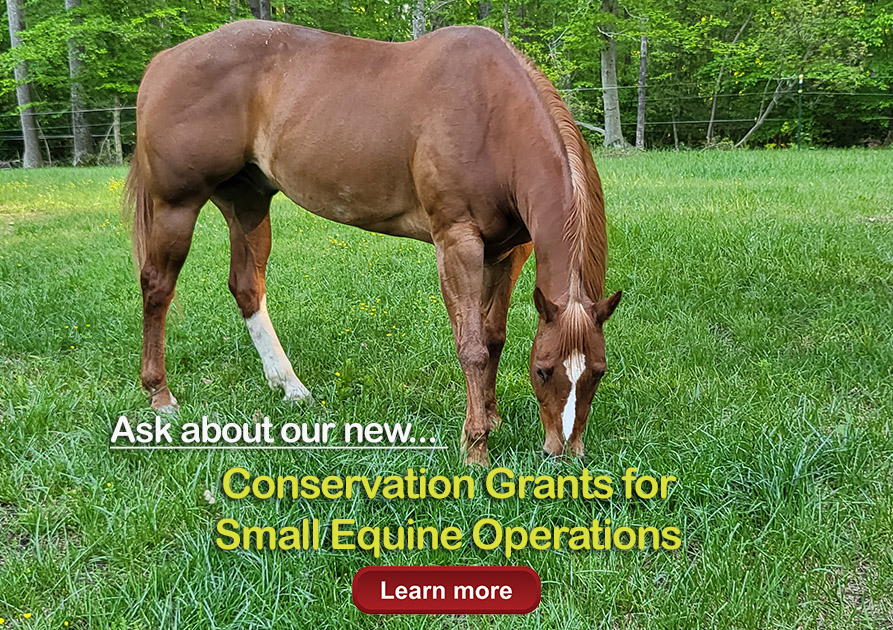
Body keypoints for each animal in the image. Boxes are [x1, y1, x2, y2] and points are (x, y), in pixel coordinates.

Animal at [127, 19, 620, 466]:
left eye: (597, 372)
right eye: (543, 370)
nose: (564, 452)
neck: (492, 113)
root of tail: (163, 60)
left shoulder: (508, 252)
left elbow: (494, 336)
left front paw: (491, 417)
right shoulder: (456, 242)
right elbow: (473, 347)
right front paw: (475, 447)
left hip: (246, 203)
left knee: (247, 287)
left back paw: (290, 387)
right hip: (176, 206)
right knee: (157, 286)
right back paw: (160, 396)